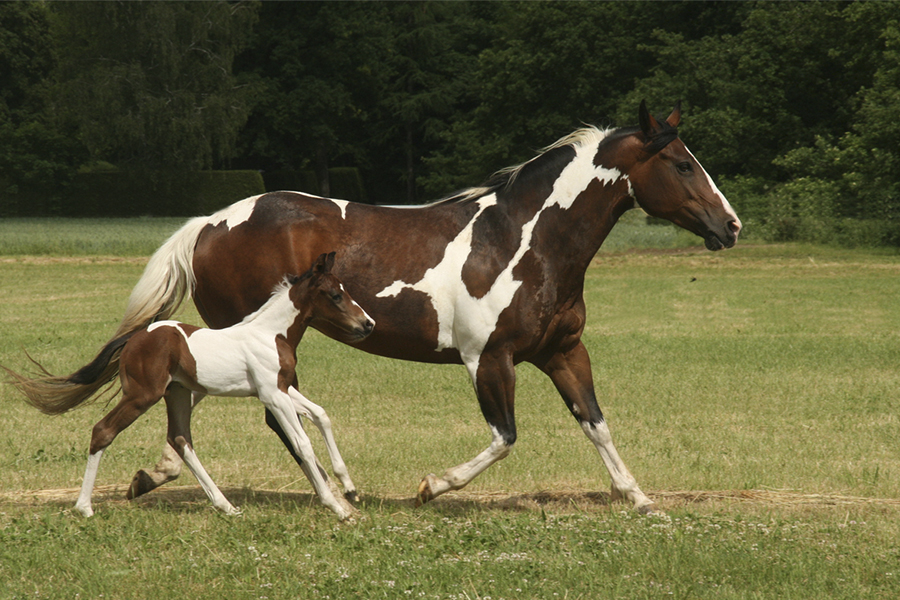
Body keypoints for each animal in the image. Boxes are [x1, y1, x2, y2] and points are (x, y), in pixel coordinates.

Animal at [5, 252, 374, 519]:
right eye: (335, 295)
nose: (368, 324)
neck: (272, 333)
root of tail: (135, 338)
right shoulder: (272, 395)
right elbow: (302, 444)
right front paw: (337, 507)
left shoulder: (281, 389)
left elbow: (321, 415)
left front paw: (350, 488)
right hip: (143, 395)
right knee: (104, 430)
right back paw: (84, 508)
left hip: (178, 392)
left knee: (181, 438)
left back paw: (226, 506)